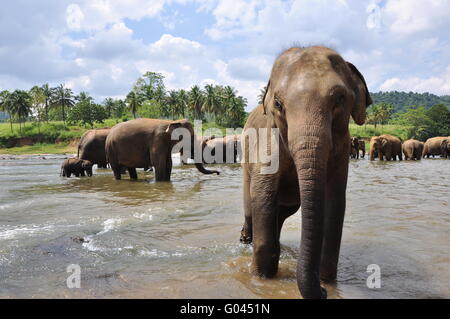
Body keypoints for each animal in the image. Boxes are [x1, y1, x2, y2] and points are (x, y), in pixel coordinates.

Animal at [239, 46, 372, 298]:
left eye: (340, 99)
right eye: (278, 104)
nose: (323, 291)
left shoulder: (342, 149)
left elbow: (334, 201)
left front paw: (328, 281)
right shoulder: (268, 142)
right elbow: (263, 193)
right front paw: (261, 278)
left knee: (282, 214)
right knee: (251, 205)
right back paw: (245, 239)